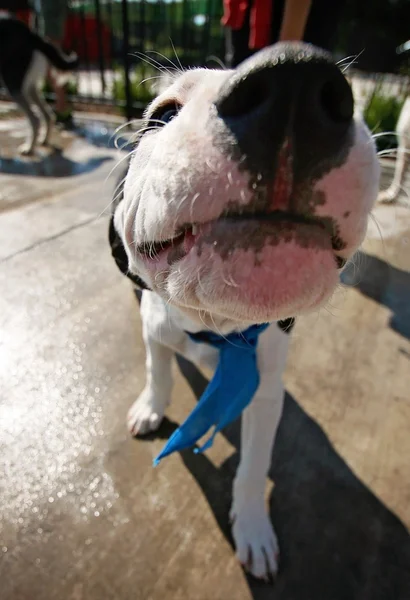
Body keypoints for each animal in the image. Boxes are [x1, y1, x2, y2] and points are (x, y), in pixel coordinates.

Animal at [0, 17, 78, 156]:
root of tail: (31, 34)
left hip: (12, 82)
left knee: (35, 119)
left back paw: (29, 148)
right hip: (30, 87)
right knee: (48, 114)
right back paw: (43, 140)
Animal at [108, 44, 378, 580]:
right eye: (161, 115)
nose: (294, 80)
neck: (216, 326)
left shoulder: (266, 392)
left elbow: (254, 467)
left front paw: (253, 529)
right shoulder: (154, 332)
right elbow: (157, 371)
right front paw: (151, 408)